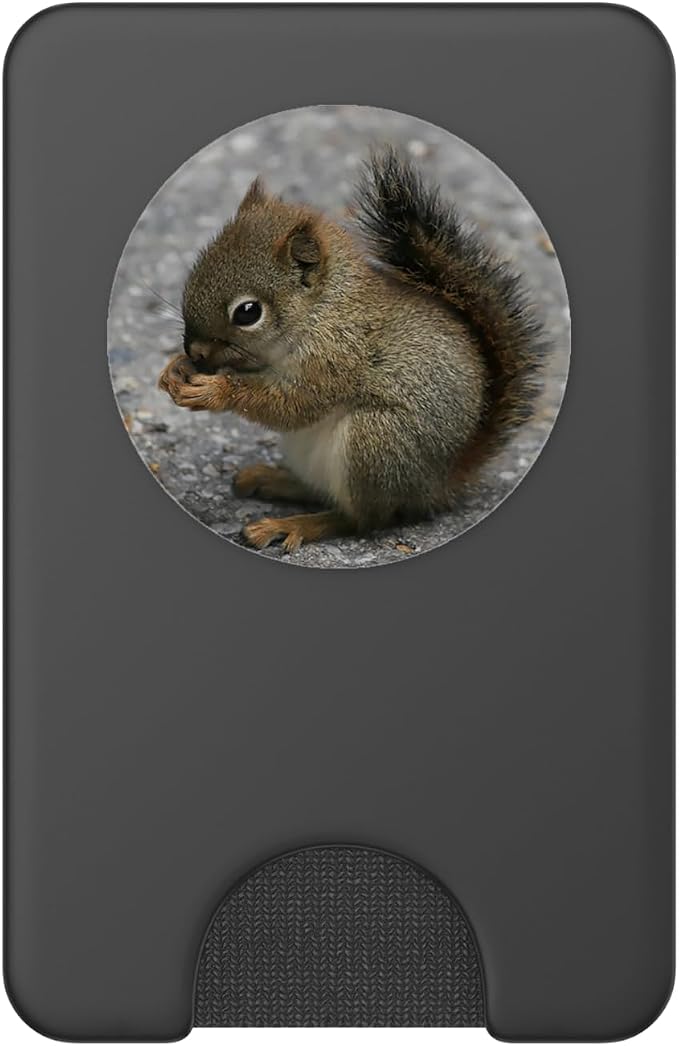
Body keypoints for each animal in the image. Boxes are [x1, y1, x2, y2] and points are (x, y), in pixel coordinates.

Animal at [158, 149, 543, 552]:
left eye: (248, 312)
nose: (196, 351)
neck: (322, 309)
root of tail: (437, 485)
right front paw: (176, 370)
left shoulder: (337, 357)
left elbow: (293, 404)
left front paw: (216, 390)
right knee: (321, 492)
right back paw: (273, 479)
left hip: (375, 441)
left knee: (361, 519)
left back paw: (294, 524)